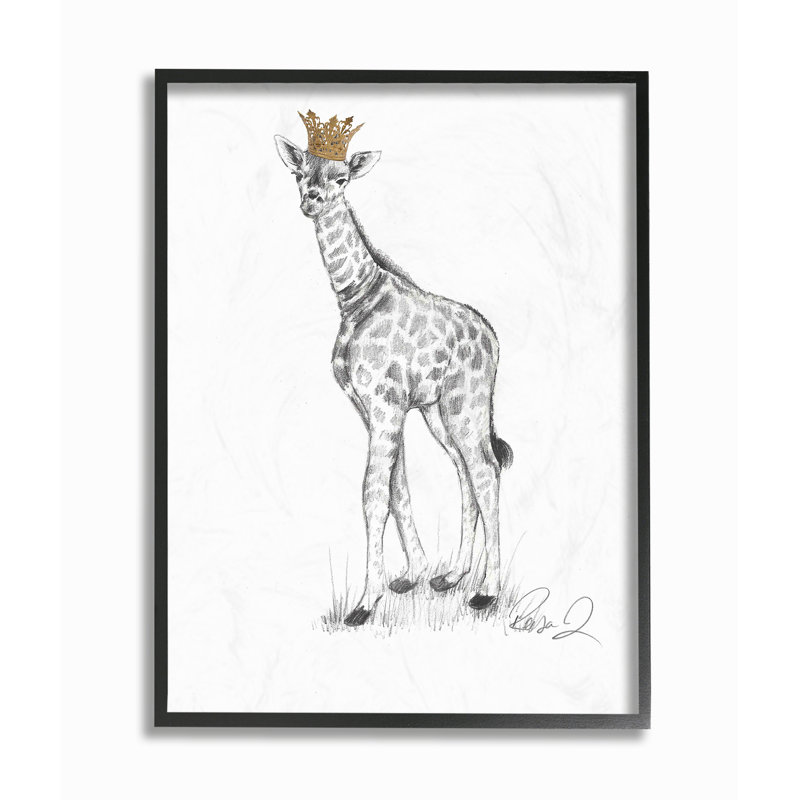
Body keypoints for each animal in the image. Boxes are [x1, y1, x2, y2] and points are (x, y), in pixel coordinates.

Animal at [275, 115, 513, 627]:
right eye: (299, 172)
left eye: (342, 178)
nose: (311, 200)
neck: (355, 298)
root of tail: (492, 338)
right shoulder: (375, 407)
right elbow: (396, 488)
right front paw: (411, 576)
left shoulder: (385, 405)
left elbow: (373, 493)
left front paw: (365, 603)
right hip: (440, 412)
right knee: (466, 471)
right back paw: (453, 576)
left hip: (466, 404)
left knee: (486, 470)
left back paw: (485, 592)